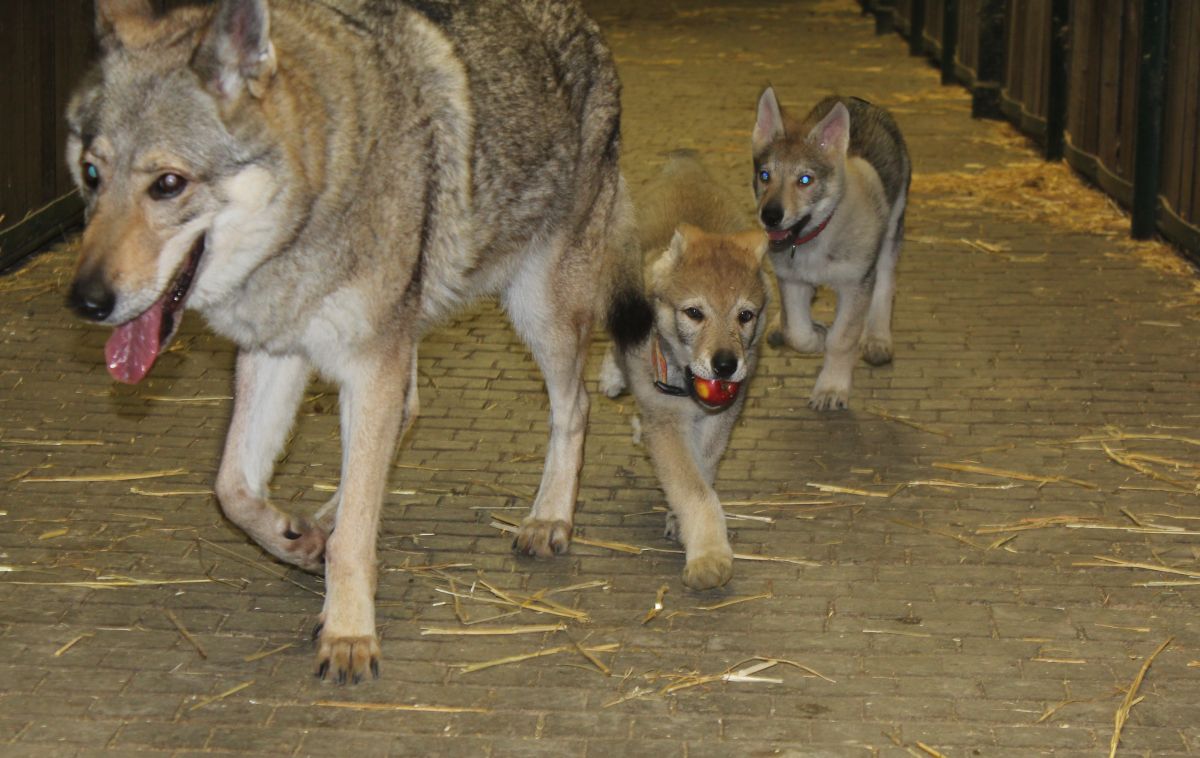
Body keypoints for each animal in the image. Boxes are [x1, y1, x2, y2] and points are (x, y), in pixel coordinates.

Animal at [748, 87, 907, 414]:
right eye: (765, 175)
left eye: (805, 180)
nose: (770, 215)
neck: (815, 240)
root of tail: (856, 99)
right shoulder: (791, 279)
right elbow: (798, 332)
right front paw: (816, 336)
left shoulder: (856, 284)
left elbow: (842, 339)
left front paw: (831, 387)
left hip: (890, 234)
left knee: (886, 283)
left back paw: (877, 339)